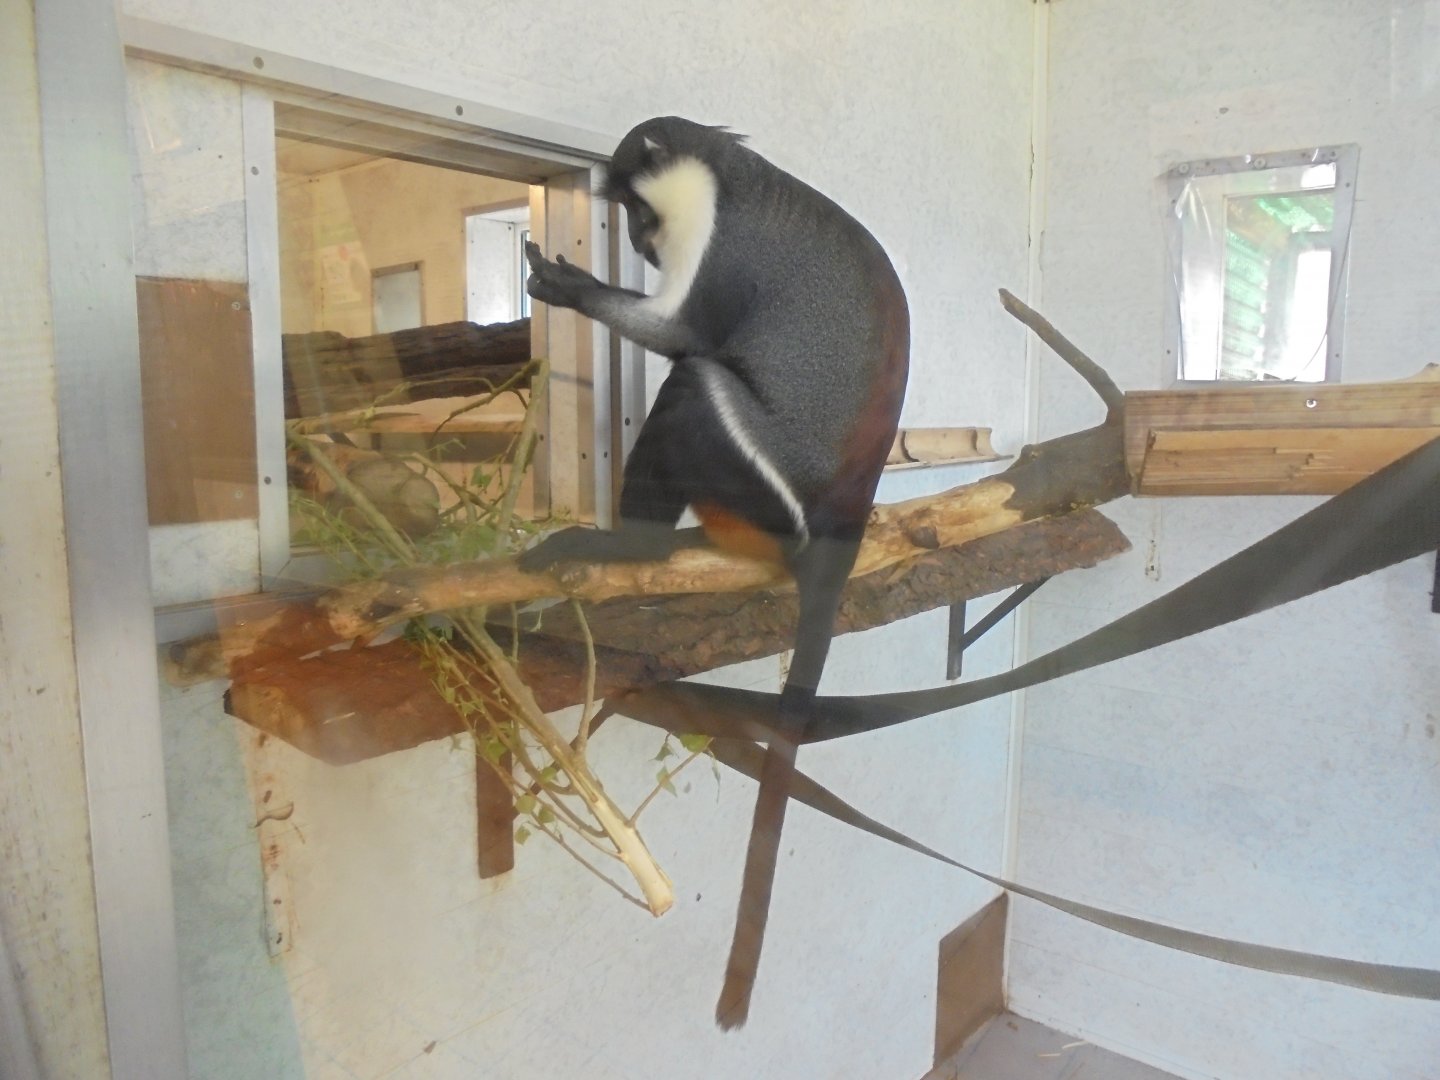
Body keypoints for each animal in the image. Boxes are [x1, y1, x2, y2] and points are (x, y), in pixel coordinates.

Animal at [519, 116, 908, 1028]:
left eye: (637, 210)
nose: (638, 242)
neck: (728, 166)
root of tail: (844, 517)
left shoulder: (713, 228)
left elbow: (679, 334)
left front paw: (571, 285)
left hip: (757, 477)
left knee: (695, 380)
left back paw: (628, 548)